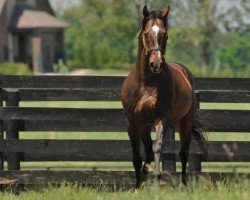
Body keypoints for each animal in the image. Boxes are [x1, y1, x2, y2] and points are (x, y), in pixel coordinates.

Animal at [121, 5, 209, 188]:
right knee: (148, 152)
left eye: (165, 34)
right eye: (146, 33)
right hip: (145, 126)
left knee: (183, 153)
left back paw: (183, 185)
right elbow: (137, 156)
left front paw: (156, 179)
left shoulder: (161, 118)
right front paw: (137, 186)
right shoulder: (132, 122)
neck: (146, 83)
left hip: (185, 124)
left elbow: (158, 147)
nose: (156, 64)